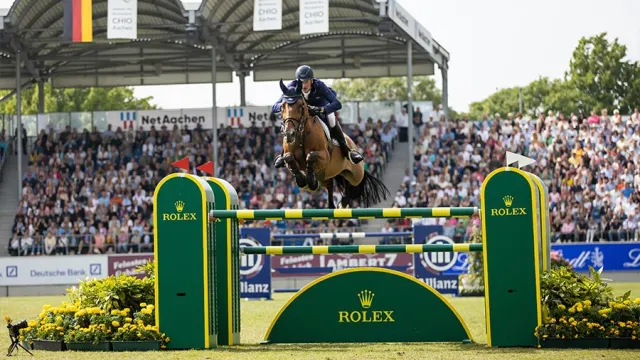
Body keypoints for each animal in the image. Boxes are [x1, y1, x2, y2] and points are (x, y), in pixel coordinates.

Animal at [276, 79, 388, 208]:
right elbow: (289, 158)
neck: (302, 135)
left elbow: (311, 156)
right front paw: (302, 180)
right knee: (332, 186)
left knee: (352, 183)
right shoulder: (291, 158)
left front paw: (311, 180)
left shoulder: (324, 157)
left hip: (356, 175)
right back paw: (335, 203)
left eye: (301, 106)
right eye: (282, 107)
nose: (289, 134)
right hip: (329, 175)